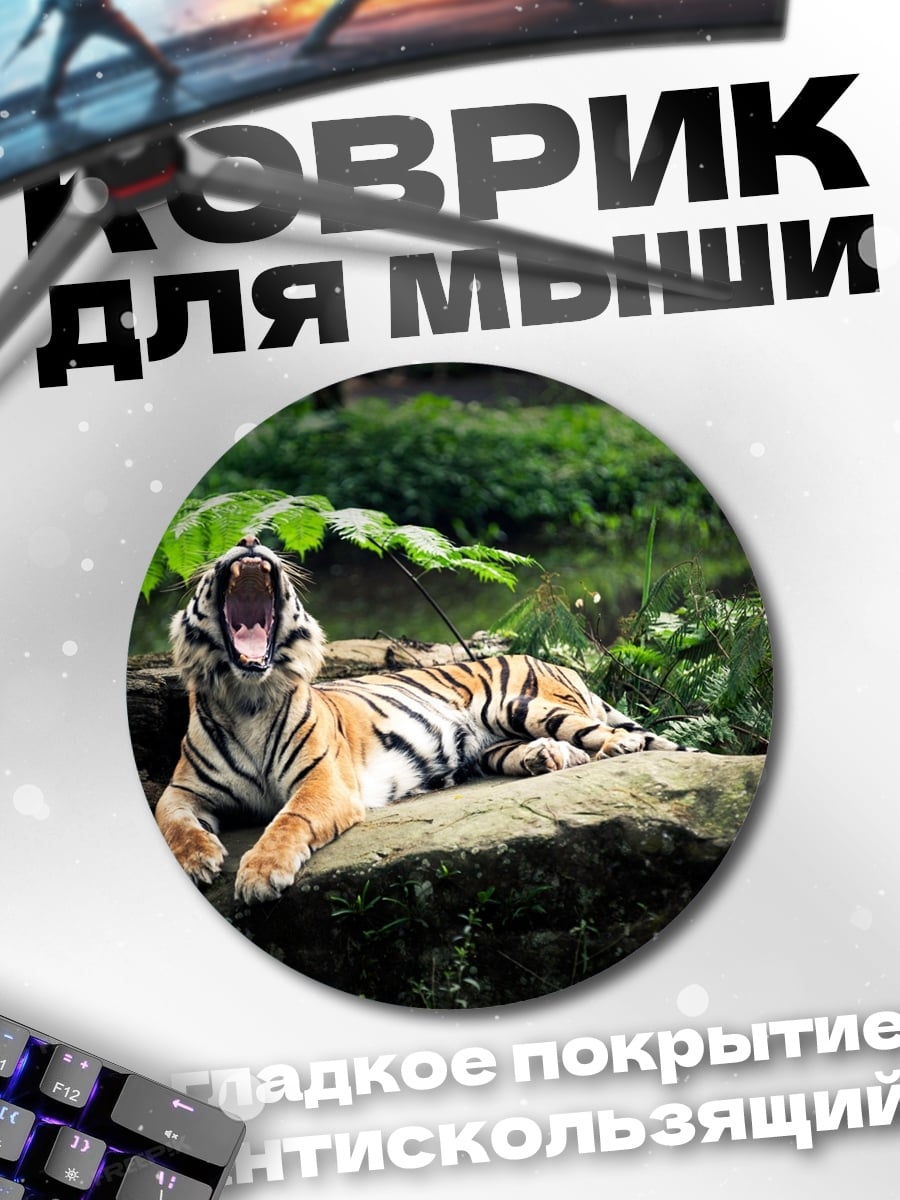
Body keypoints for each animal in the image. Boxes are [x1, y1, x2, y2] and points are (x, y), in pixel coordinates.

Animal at [154, 535, 689, 904]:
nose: (248, 540)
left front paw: (260, 874)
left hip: (521, 705)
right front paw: (200, 859)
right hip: (494, 746)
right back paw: (545, 759)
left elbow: (289, 820)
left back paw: (615, 747)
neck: (248, 695)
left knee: (606, 734)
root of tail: (558, 663)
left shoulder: (324, 781)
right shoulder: (184, 789)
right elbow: (171, 822)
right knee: (564, 750)